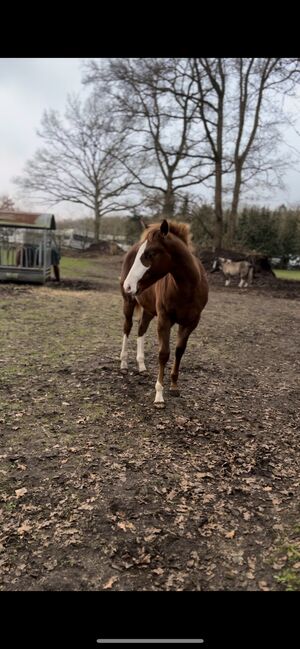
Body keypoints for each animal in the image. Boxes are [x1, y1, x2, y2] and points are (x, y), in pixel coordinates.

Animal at [119, 220, 209, 408]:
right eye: (140, 254)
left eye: (150, 253)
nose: (128, 285)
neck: (187, 288)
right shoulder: (164, 319)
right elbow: (163, 354)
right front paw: (159, 396)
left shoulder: (190, 323)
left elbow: (179, 351)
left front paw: (174, 385)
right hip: (129, 303)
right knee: (127, 328)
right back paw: (123, 363)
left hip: (148, 309)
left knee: (141, 330)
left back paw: (142, 367)